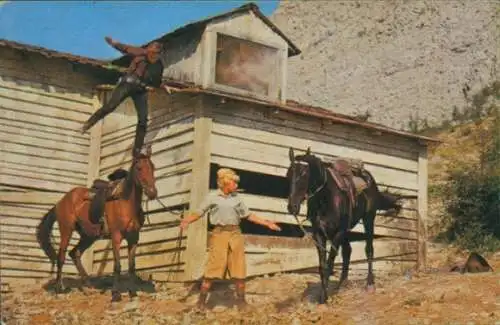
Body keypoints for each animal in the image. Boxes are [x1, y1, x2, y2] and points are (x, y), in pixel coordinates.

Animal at [36, 145, 157, 302]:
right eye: (139, 168)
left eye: (152, 167)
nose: (152, 193)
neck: (125, 202)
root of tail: (60, 202)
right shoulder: (116, 236)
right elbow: (117, 265)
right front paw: (115, 294)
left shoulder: (134, 238)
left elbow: (131, 266)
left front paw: (133, 293)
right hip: (66, 230)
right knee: (61, 257)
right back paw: (59, 289)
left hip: (88, 235)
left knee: (75, 253)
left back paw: (88, 285)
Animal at [286, 147, 402, 304]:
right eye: (288, 175)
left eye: (304, 176)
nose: (292, 207)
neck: (325, 197)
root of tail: (369, 179)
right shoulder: (319, 235)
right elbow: (323, 266)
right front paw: (323, 295)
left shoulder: (338, 232)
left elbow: (329, 264)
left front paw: (324, 298)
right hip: (347, 230)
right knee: (348, 251)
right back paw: (342, 284)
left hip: (368, 220)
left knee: (369, 250)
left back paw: (370, 284)